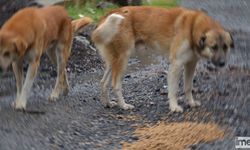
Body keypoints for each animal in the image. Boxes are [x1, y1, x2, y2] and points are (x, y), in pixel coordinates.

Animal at [92, 6, 234, 112]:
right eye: (214, 47)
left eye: (225, 47)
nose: (222, 63)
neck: (192, 27)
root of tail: (107, 14)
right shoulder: (176, 64)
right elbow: (174, 89)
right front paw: (174, 107)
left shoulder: (191, 64)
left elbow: (188, 87)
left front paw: (191, 103)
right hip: (123, 59)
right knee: (115, 84)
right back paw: (123, 105)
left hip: (114, 61)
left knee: (103, 82)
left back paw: (107, 103)